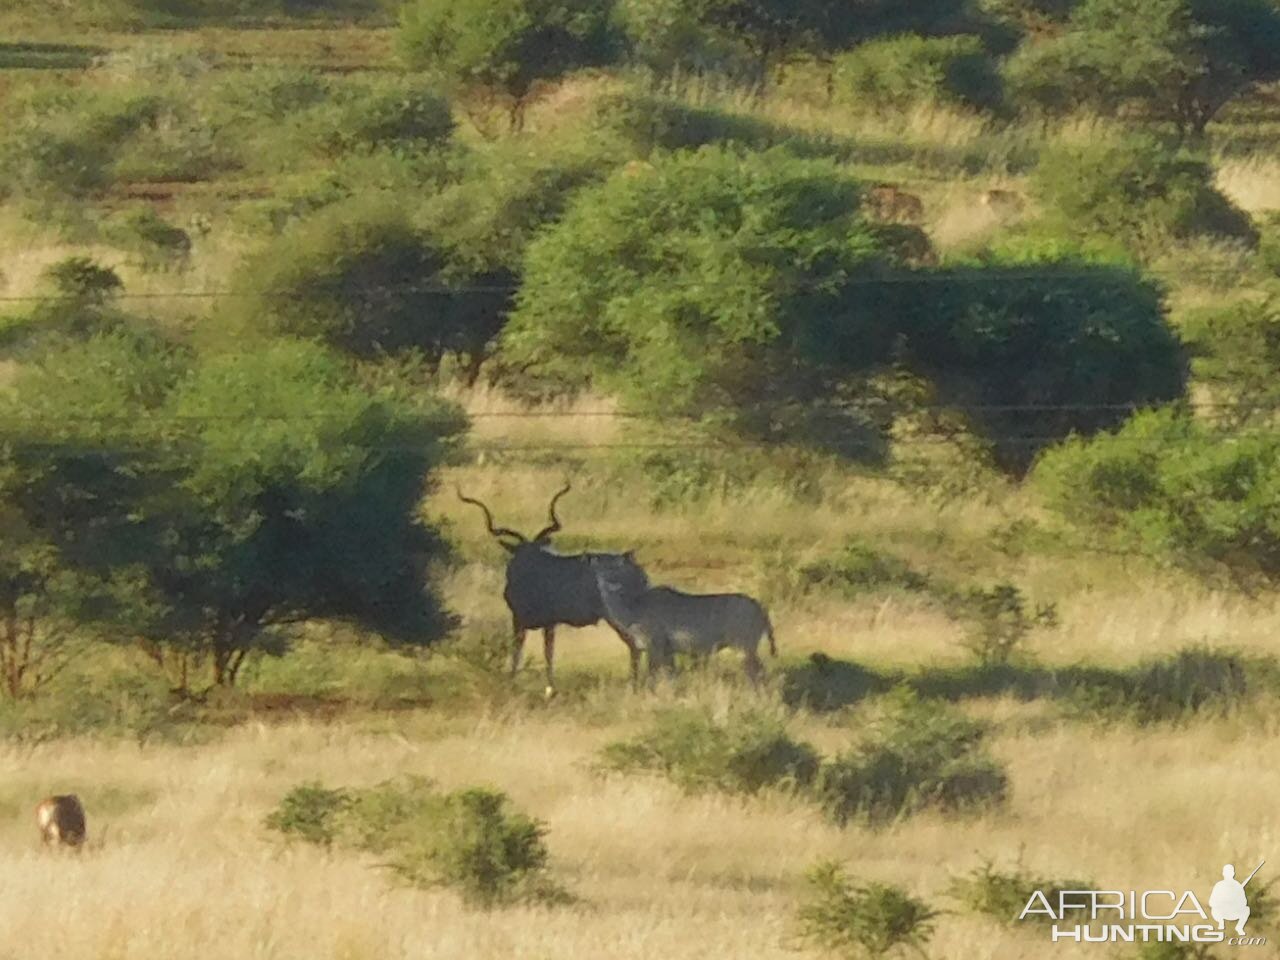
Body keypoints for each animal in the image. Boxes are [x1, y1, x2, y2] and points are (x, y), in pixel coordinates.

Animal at [455, 483, 645, 696]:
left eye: (535, 551)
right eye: (522, 552)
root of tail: (632, 564)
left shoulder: (529, 620)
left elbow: (531, 652)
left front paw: (531, 686)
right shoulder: (541, 622)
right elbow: (540, 651)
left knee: (636, 645)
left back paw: (633, 687)